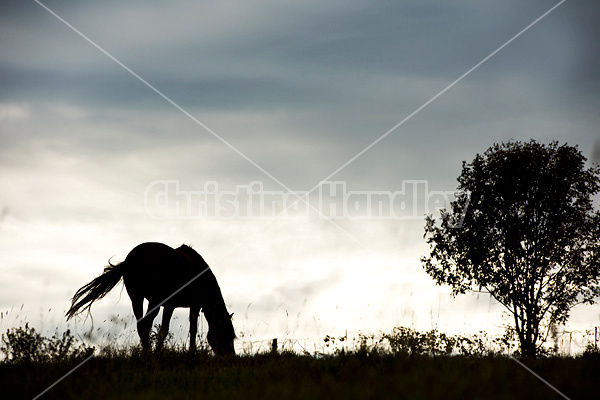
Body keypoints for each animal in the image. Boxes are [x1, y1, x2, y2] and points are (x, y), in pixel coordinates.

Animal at [65, 242, 234, 354]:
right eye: (226, 334)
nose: (230, 357)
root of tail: (130, 260)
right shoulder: (182, 305)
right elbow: (183, 329)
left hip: (137, 297)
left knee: (142, 325)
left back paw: (146, 351)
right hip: (154, 300)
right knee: (145, 324)